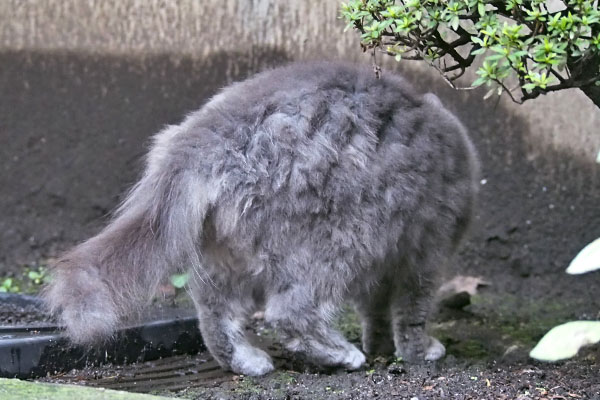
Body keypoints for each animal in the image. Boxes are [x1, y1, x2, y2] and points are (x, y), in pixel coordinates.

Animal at [43, 61, 478, 376]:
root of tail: (203, 143)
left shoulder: (388, 265)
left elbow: (376, 310)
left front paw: (381, 345)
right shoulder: (425, 252)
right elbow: (412, 312)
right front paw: (417, 351)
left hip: (222, 256)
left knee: (216, 315)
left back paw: (248, 361)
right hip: (343, 241)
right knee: (290, 312)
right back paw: (340, 355)